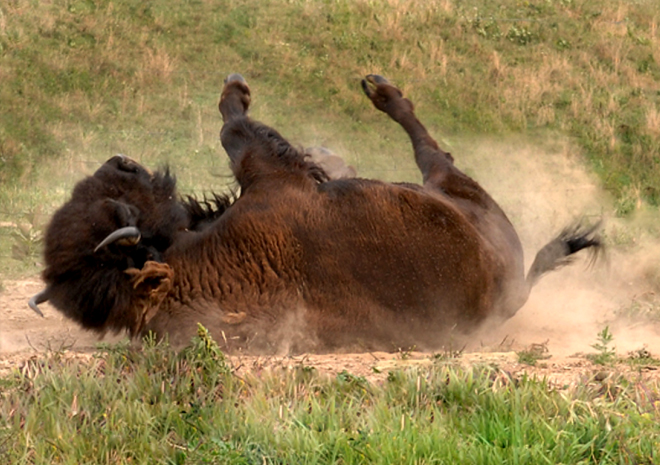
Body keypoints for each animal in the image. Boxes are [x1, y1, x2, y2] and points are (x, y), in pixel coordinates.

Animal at [29, 73, 600, 352]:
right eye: (120, 212)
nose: (119, 162)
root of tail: (513, 291)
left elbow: (237, 133)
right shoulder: (273, 177)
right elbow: (235, 130)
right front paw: (237, 88)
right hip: (455, 188)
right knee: (431, 149)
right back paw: (381, 90)